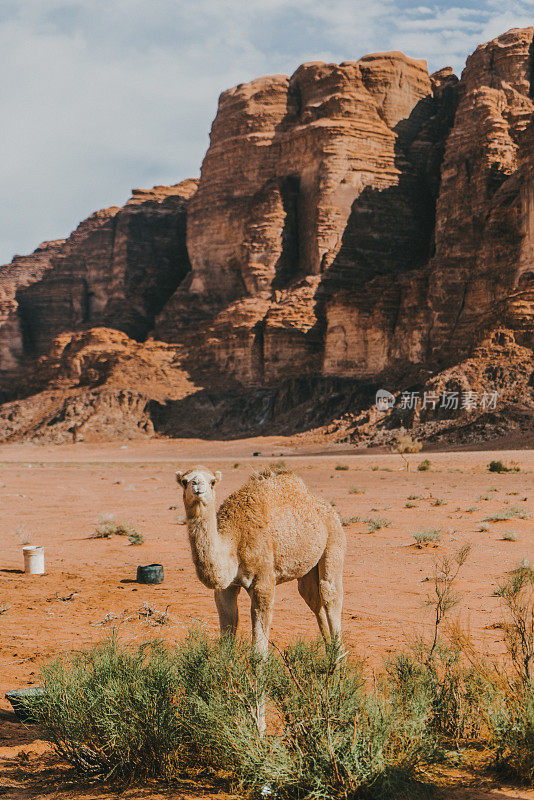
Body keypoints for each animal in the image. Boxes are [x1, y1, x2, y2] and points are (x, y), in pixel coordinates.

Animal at [176, 466, 348, 652]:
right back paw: (329, 650)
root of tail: (326, 507)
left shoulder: (263, 581)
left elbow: (259, 648)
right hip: (307, 567)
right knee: (312, 597)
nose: (197, 485)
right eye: (184, 481)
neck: (234, 538)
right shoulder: (226, 588)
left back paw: (337, 656)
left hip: (334, 539)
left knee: (330, 593)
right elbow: (227, 637)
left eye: (212, 482)